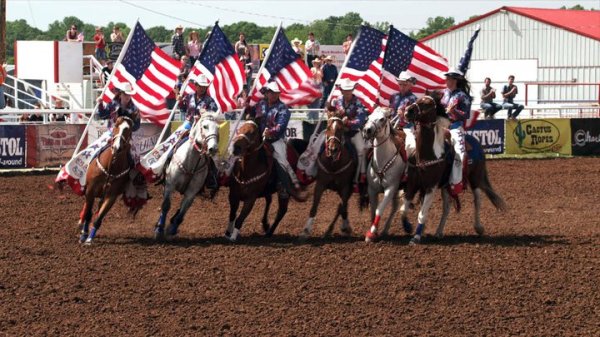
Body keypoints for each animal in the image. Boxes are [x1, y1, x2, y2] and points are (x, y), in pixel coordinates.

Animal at [78, 116, 134, 244]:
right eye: (116, 126)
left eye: (128, 129)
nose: (117, 147)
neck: (111, 167)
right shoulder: (90, 190)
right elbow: (88, 213)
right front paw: (84, 235)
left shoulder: (111, 196)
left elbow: (99, 217)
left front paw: (90, 238)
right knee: (87, 210)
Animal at [298, 108, 356, 239]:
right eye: (328, 127)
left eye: (340, 128)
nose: (333, 149)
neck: (333, 164)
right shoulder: (320, 184)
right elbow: (314, 207)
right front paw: (306, 230)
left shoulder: (345, 187)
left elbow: (342, 208)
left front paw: (344, 227)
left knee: (342, 208)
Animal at [360, 107, 408, 242]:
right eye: (368, 117)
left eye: (382, 119)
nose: (367, 130)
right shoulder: (372, 189)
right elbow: (372, 210)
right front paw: (373, 232)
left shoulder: (390, 189)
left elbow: (379, 210)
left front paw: (371, 234)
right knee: (395, 207)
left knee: (396, 207)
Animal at [400, 94, 508, 244]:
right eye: (417, 100)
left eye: (427, 104)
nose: (408, 111)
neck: (426, 156)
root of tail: (477, 144)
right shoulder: (412, 184)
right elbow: (403, 209)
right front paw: (408, 227)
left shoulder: (431, 186)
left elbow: (422, 213)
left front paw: (416, 237)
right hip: (446, 185)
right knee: (447, 207)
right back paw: (439, 232)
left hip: (475, 178)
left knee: (477, 201)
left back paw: (478, 227)